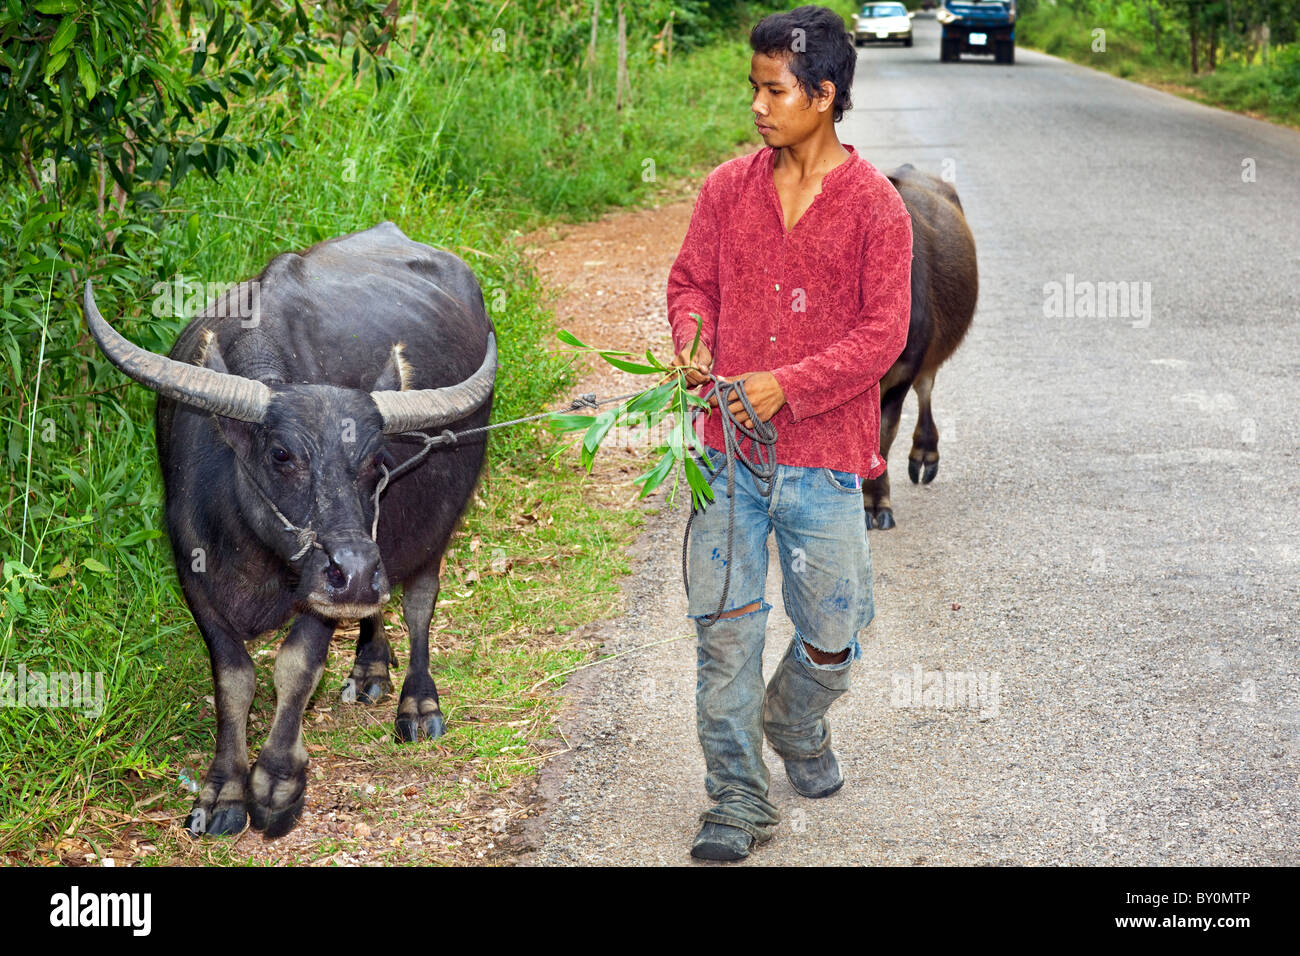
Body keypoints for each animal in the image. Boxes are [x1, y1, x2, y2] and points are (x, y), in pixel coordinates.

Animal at [82, 222, 496, 837]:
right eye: (281, 455)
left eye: (377, 463)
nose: (354, 572)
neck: (258, 553)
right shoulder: (193, 578)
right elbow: (233, 679)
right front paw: (222, 793)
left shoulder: (319, 592)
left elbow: (296, 667)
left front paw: (277, 785)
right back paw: (370, 666)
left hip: (431, 526)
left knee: (419, 600)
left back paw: (418, 705)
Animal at [863, 160, 977, 528]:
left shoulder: (901, 374)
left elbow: (881, 439)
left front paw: (875, 504)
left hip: (926, 358)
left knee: (926, 388)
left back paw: (925, 453)